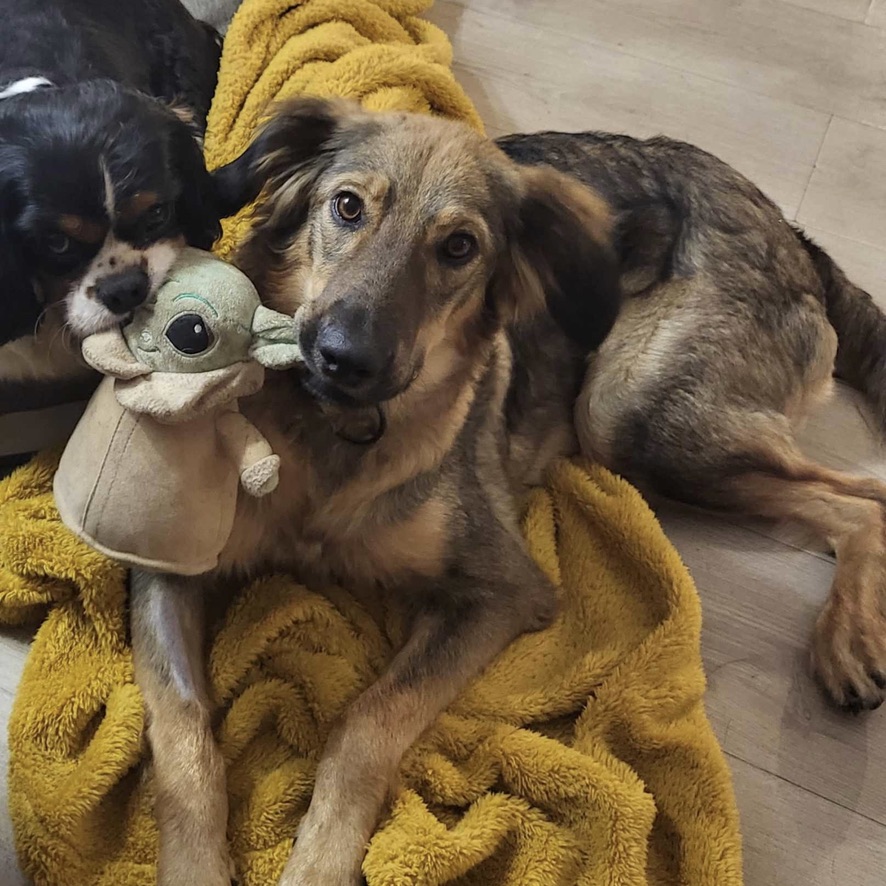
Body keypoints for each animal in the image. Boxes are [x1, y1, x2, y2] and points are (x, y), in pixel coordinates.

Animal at [130, 99, 886, 886]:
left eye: (459, 247)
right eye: (347, 207)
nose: (343, 360)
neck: (333, 433)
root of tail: (786, 229)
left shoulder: (504, 589)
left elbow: (368, 721)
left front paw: (319, 864)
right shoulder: (164, 565)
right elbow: (182, 730)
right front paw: (195, 866)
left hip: (627, 412)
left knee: (865, 497)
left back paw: (848, 642)